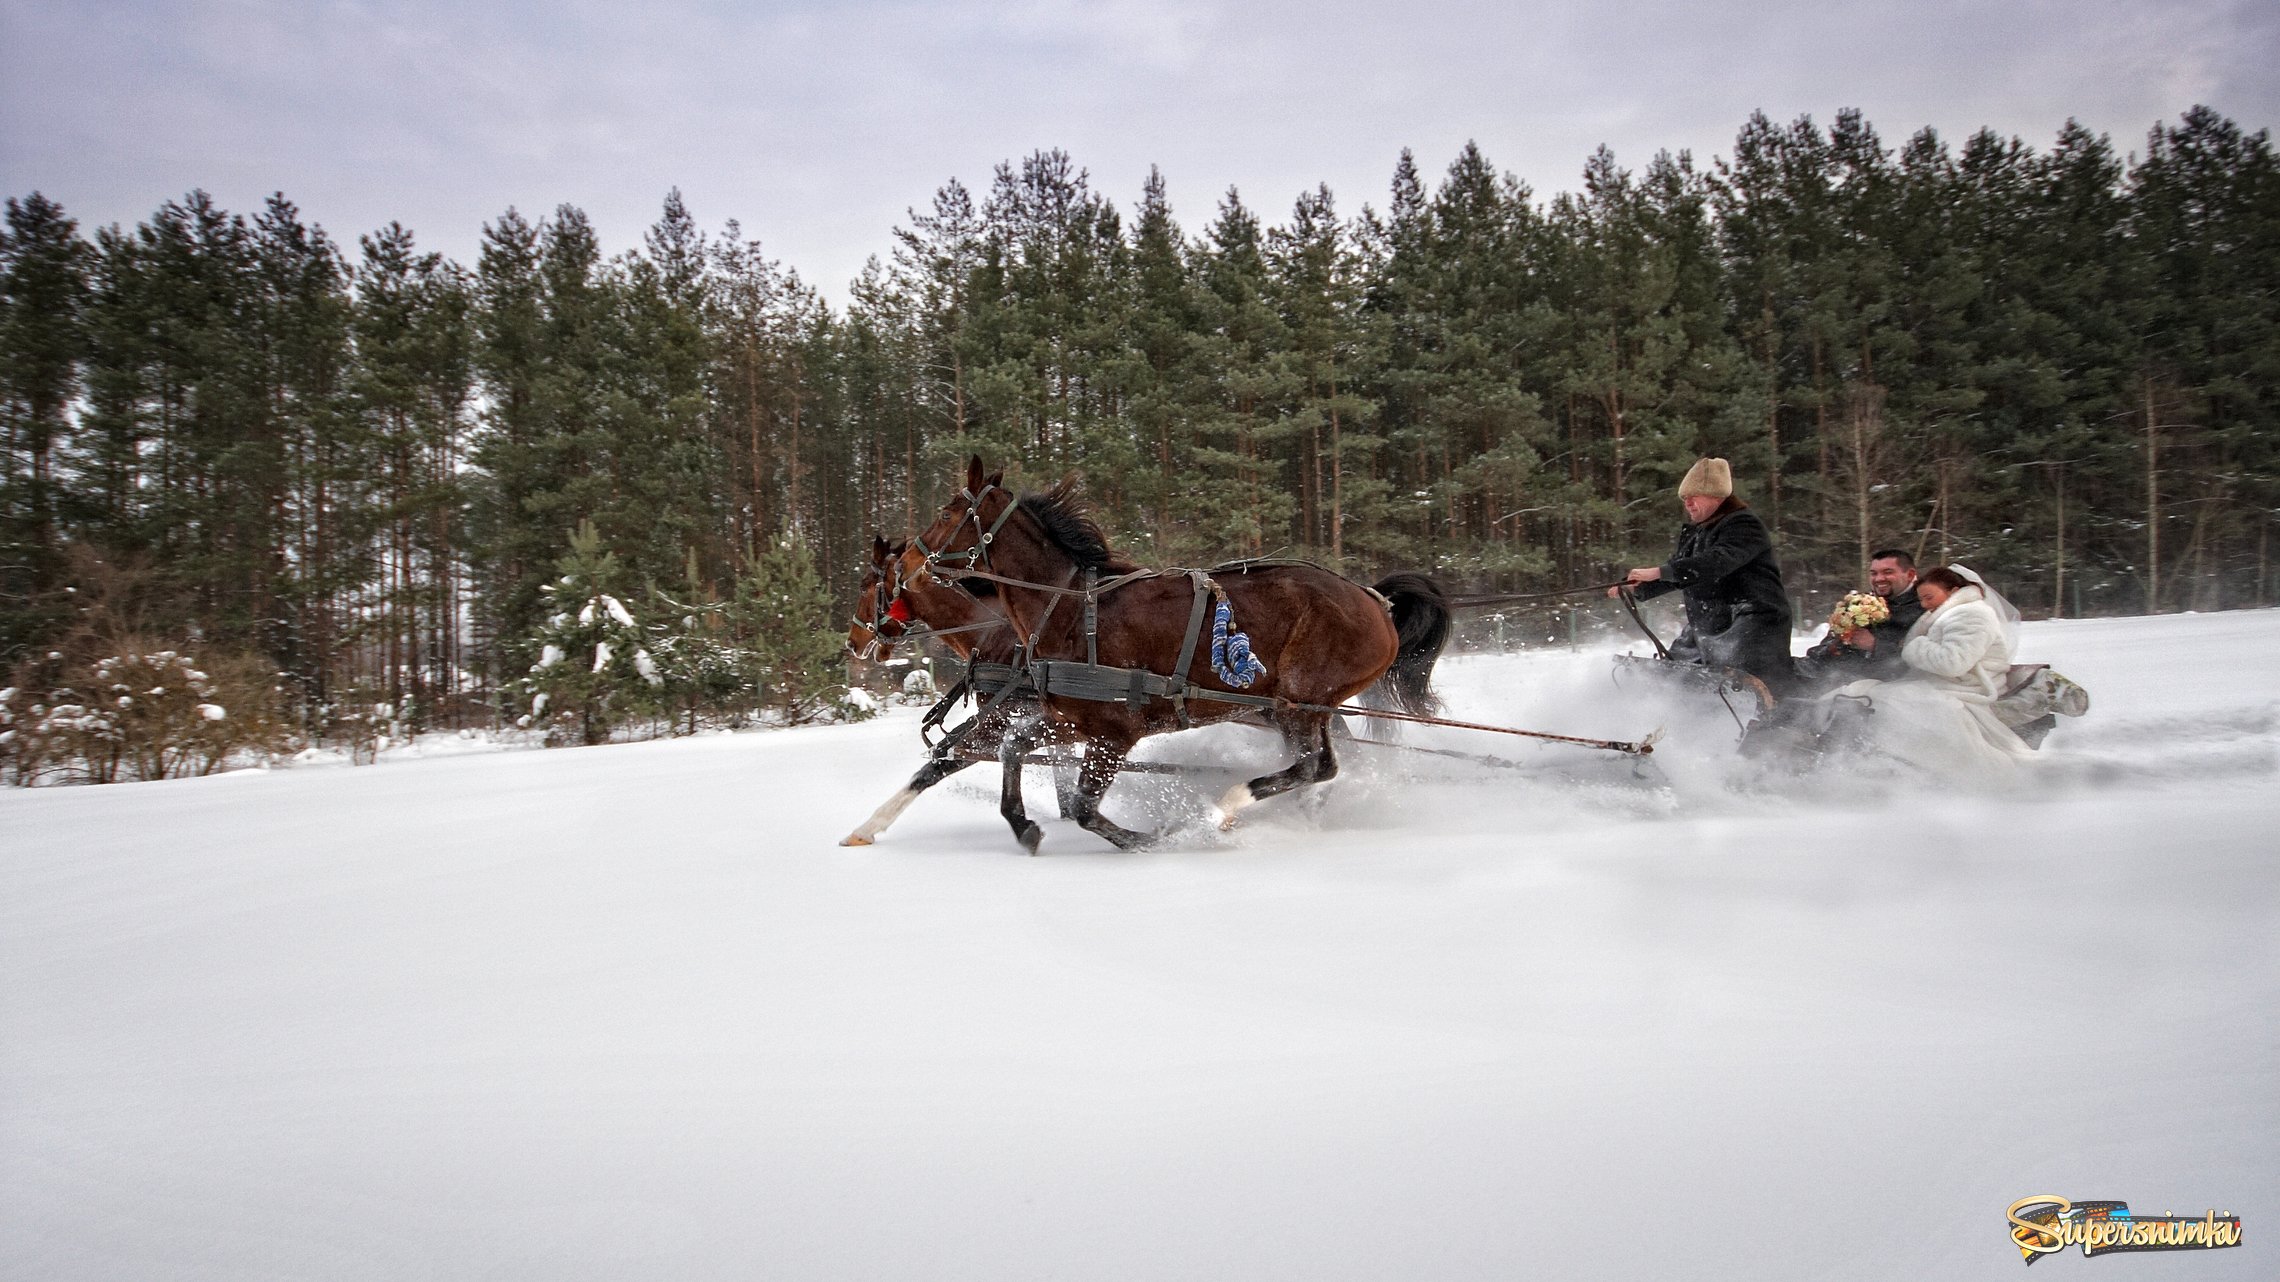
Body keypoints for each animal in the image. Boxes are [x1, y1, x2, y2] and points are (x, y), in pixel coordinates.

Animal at [902, 458, 1450, 848]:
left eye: (947, 513)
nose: (910, 561)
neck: (1071, 609)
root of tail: (1375, 600)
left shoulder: (1115, 732)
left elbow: (1082, 807)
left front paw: (1155, 837)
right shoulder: (1073, 720)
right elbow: (1014, 747)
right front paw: (1023, 825)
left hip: (1298, 701)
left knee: (1314, 766)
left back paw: (1227, 806)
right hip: (1302, 710)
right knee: (1323, 766)